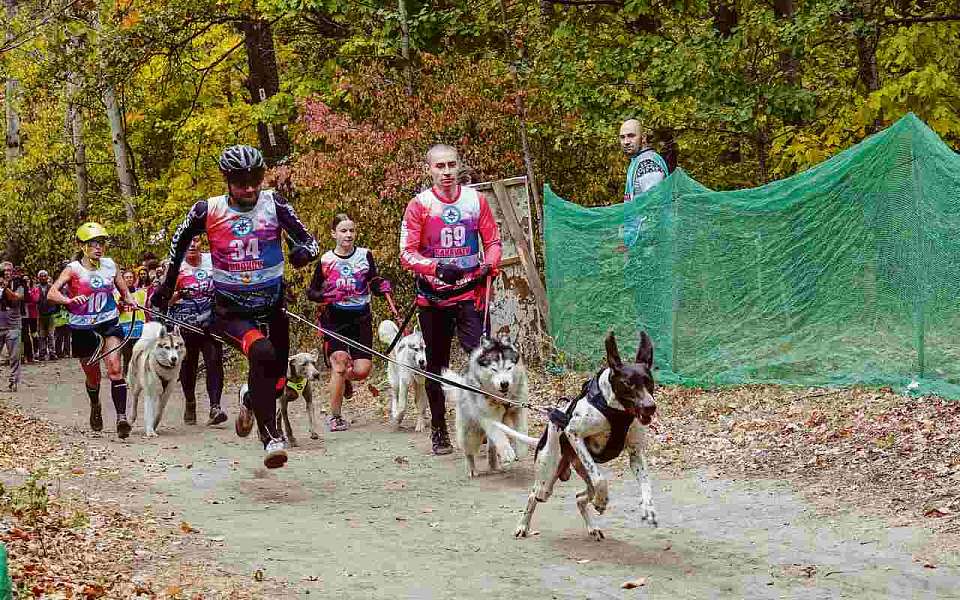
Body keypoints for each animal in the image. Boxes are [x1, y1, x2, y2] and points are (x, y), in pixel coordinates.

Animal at [444, 332, 532, 478]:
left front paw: (521, 449)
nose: (504, 384)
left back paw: (494, 465)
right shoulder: (488, 417)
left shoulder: (518, 409)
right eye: (494, 369)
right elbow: (499, 435)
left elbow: (522, 429)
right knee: (469, 451)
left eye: (509, 367)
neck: (503, 399)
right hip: (470, 432)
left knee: (491, 447)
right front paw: (507, 451)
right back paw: (472, 468)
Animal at [512, 330, 656, 540]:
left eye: (649, 382)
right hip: (546, 479)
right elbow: (601, 479)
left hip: (580, 472)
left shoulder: (635, 453)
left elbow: (646, 483)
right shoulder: (573, 433)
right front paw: (602, 501)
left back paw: (593, 525)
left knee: (581, 497)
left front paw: (648, 508)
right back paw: (523, 526)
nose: (650, 406)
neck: (616, 410)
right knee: (534, 495)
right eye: (628, 383)